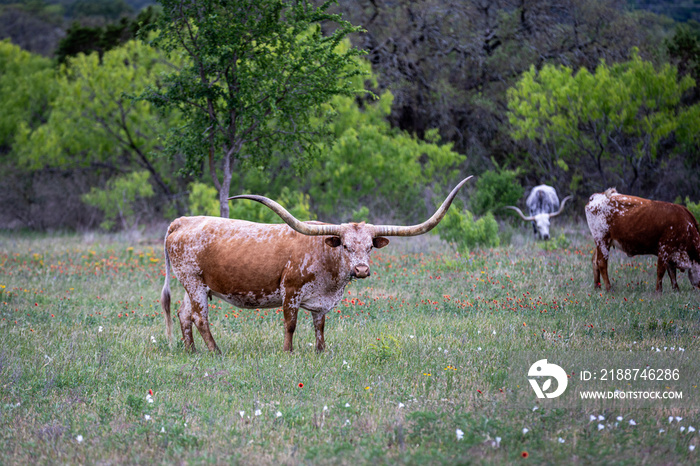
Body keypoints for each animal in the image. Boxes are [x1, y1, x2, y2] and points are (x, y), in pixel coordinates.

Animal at [161, 177, 474, 354]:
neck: (326, 259)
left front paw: (320, 352)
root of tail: (182, 221)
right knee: (200, 317)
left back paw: (191, 352)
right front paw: (288, 353)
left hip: (194, 285)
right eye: (345, 246)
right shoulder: (290, 293)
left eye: (370, 247)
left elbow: (320, 326)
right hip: (193, 282)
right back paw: (215, 351)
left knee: (183, 314)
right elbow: (290, 324)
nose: (361, 270)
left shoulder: (322, 303)